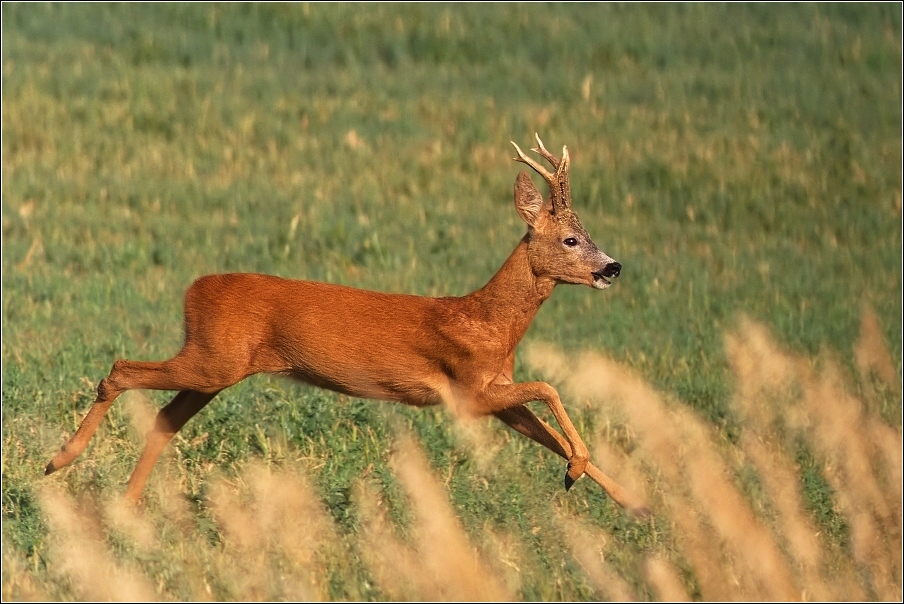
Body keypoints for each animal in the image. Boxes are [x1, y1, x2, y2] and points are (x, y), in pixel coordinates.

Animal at [44, 134, 648, 516]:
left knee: (164, 419)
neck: (486, 321)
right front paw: (581, 469)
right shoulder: (467, 391)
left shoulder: (495, 391)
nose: (613, 266)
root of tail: (194, 290)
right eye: (571, 238)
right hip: (212, 359)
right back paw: (58, 462)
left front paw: (630, 501)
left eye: (588, 233)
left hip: (217, 367)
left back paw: (126, 504)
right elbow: (549, 387)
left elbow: (547, 432)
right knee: (120, 370)